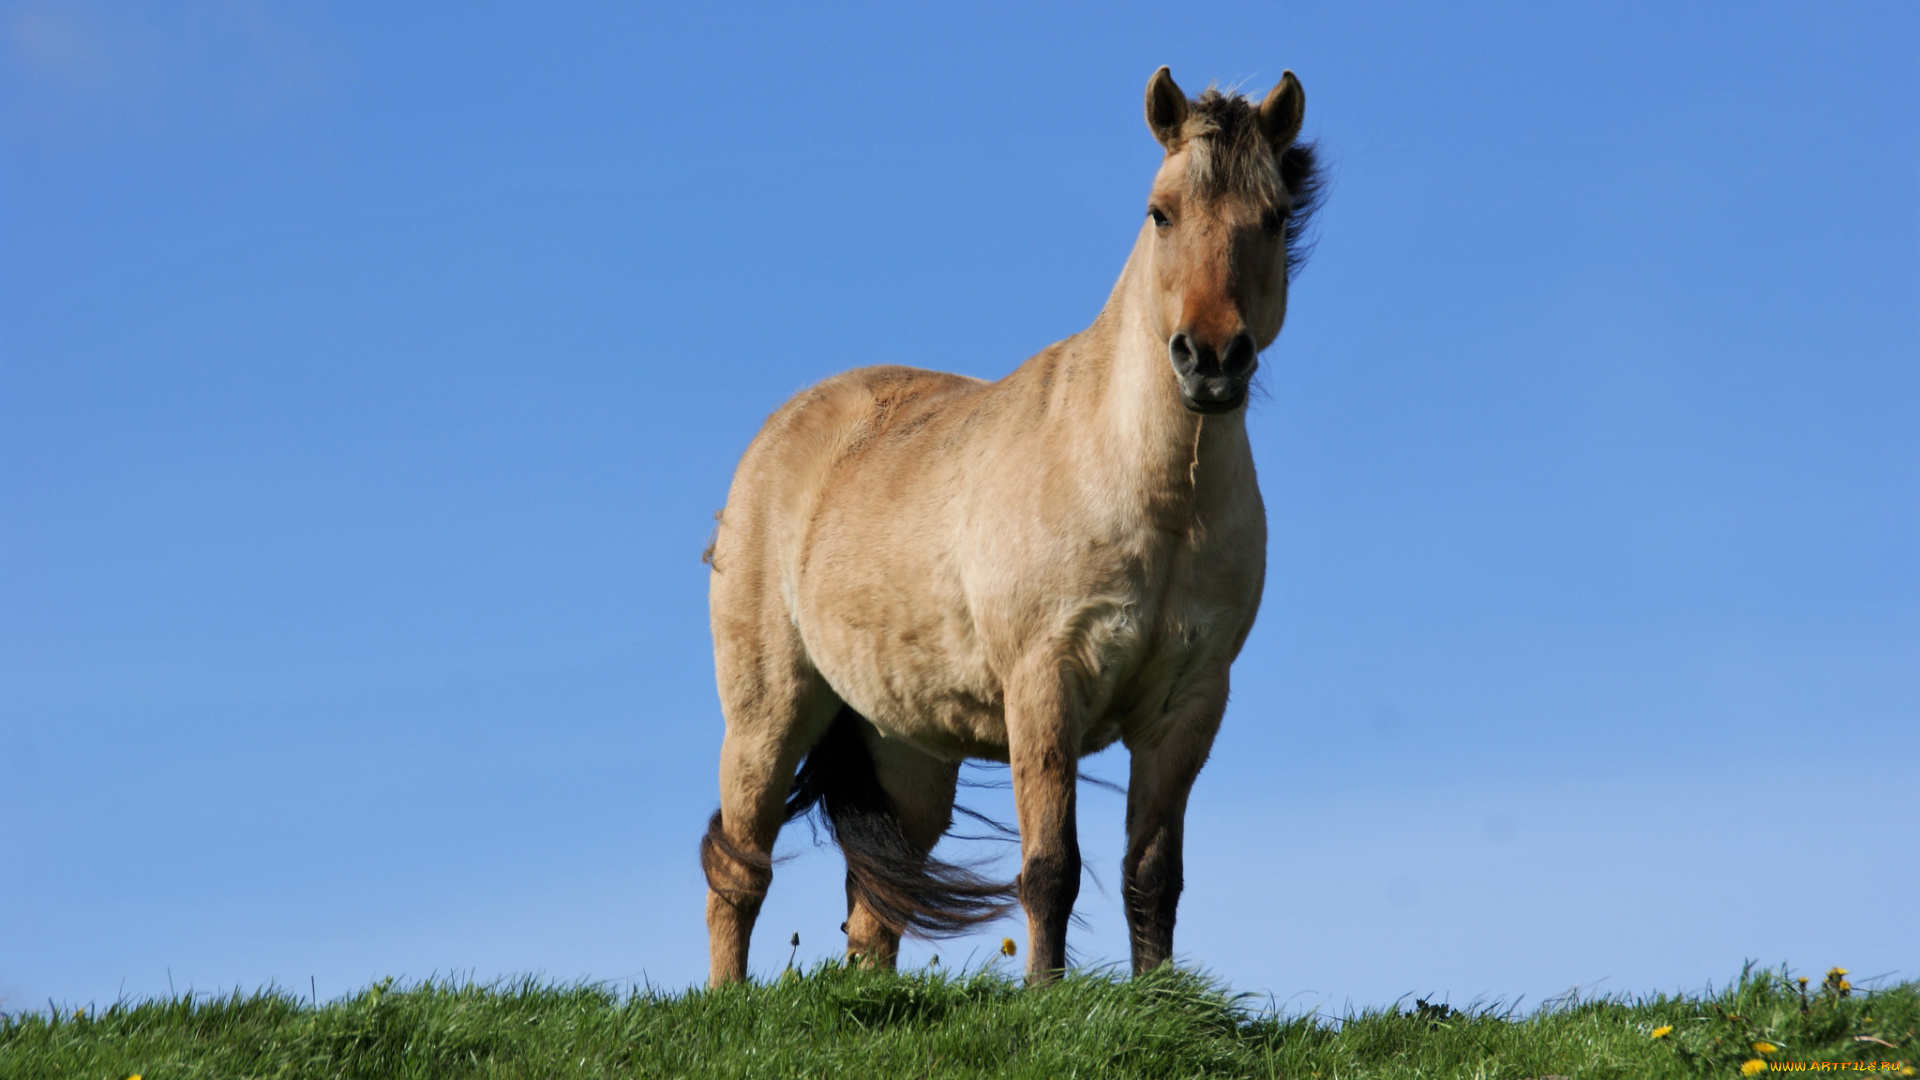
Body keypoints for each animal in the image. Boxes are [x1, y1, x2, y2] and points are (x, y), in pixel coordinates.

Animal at [702, 62, 1320, 980]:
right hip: (767, 714)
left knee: (875, 910)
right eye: (1161, 211)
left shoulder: (1188, 704)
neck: (1156, 503)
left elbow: (1152, 877)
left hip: (907, 752)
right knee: (739, 870)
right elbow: (1050, 868)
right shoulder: (1045, 683)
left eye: (1275, 217)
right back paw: (726, 997)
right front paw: (1045, 993)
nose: (1210, 357)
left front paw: (1156, 995)